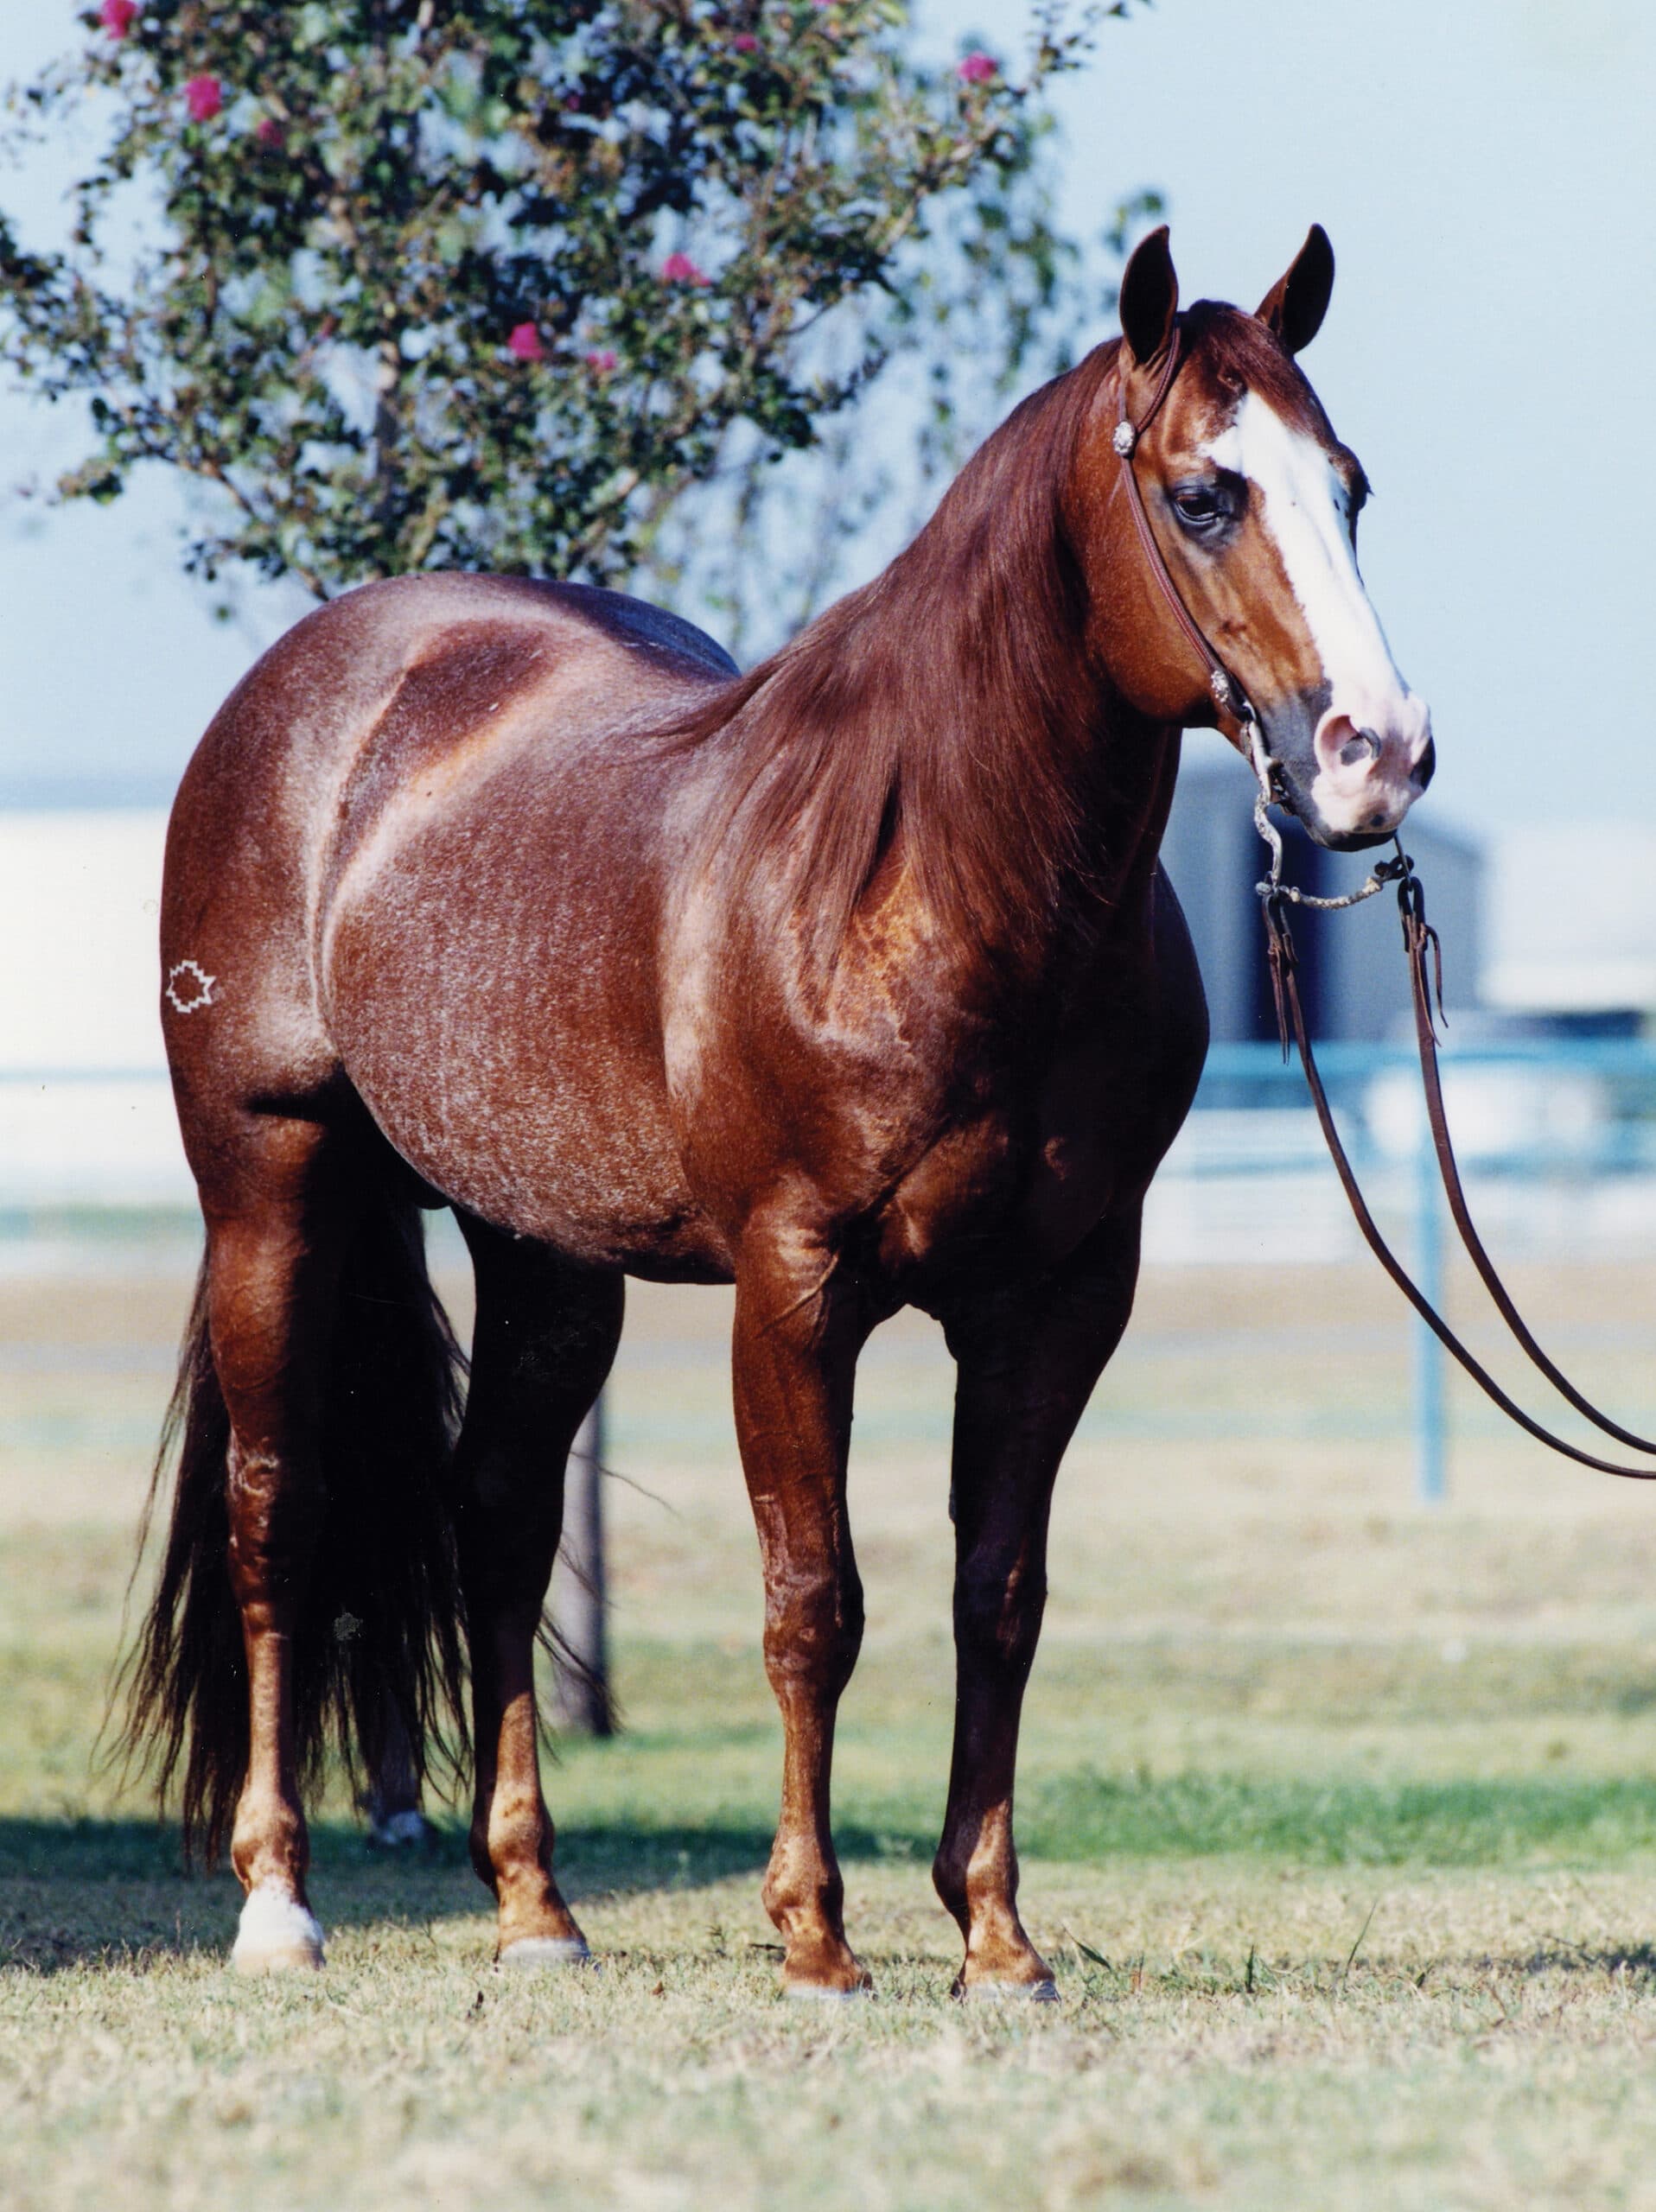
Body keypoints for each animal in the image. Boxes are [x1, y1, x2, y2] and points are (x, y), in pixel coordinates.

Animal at [129, 225, 1433, 1994]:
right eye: (1204, 495)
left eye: (1347, 485)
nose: (1377, 756)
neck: (933, 875)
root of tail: (320, 686)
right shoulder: (796, 1282)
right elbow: (815, 1596)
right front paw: (816, 1933)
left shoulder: (1060, 1296)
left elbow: (997, 1594)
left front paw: (996, 1937)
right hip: (272, 1187)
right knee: (279, 1512)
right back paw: (279, 1905)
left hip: (545, 1252)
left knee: (498, 1520)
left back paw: (536, 1909)